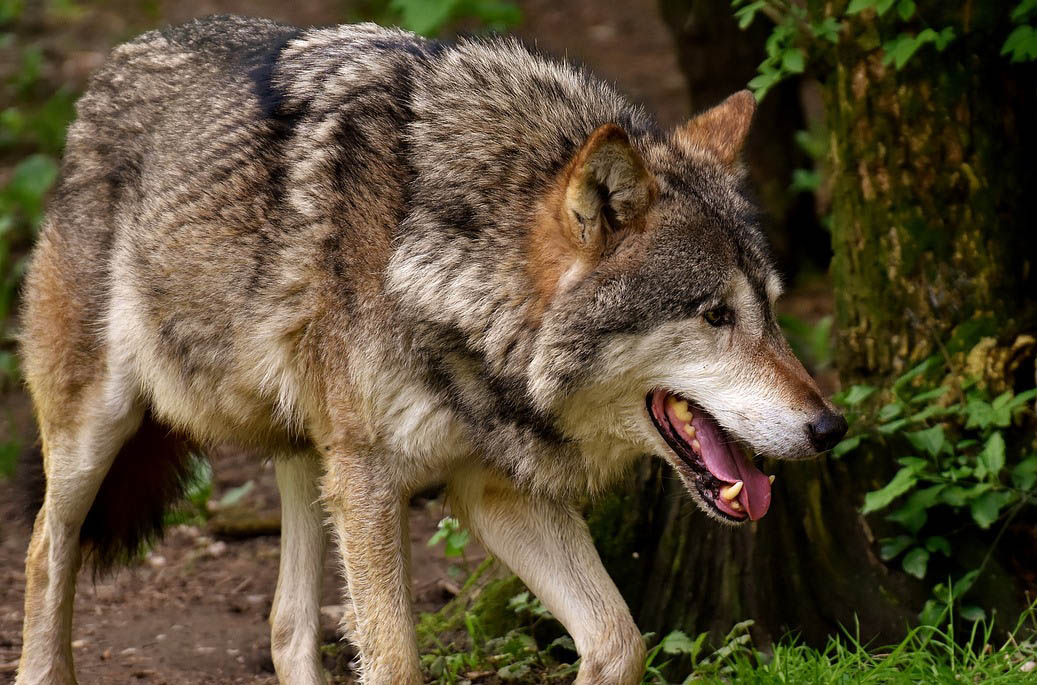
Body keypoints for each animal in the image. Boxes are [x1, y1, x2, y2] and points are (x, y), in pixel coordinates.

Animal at [14, 14, 842, 683]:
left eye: (770, 309)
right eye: (714, 314)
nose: (829, 427)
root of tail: (116, 64)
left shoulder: (493, 490)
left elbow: (618, 639)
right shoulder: (373, 480)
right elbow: (397, 661)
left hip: (311, 456)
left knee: (286, 626)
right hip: (101, 430)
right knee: (44, 550)